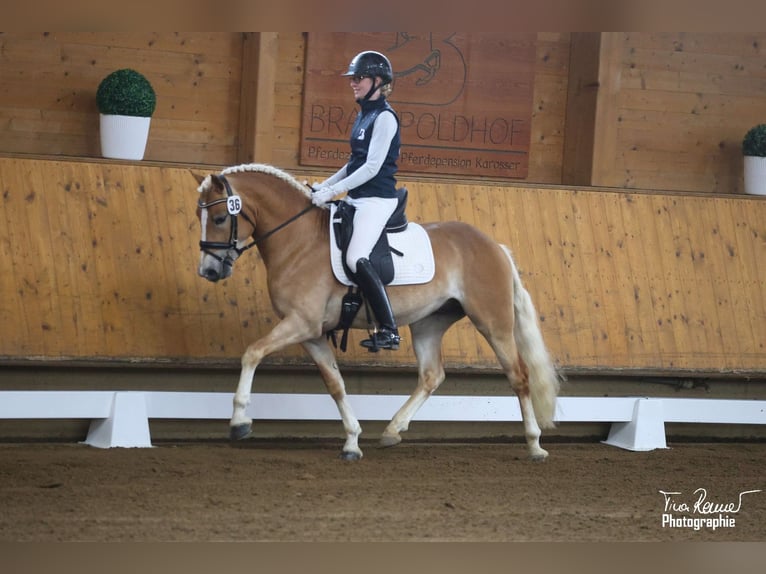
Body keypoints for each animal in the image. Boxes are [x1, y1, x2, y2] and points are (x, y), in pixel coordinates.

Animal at [195, 163, 560, 464]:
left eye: (219, 218)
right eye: (200, 219)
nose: (209, 271)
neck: (299, 241)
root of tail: (494, 246)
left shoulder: (300, 323)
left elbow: (252, 353)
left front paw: (239, 422)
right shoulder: (311, 334)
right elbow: (335, 384)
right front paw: (352, 442)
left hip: (493, 323)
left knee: (519, 376)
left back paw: (534, 446)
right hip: (429, 323)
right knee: (432, 375)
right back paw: (392, 430)